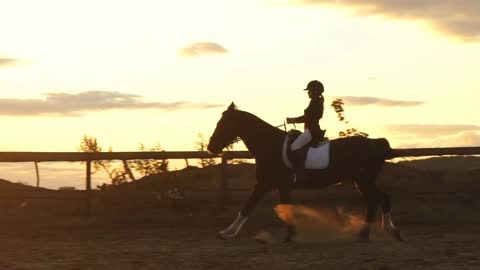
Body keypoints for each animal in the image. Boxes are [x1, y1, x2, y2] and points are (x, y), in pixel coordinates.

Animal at [208, 103, 404, 243]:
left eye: (223, 124)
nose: (211, 147)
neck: (269, 145)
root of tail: (377, 143)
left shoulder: (265, 184)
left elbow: (248, 206)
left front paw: (226, 233)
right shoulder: (279, 185)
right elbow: (284, 207)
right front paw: (290, 235)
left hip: (364, 181)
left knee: (381, 198)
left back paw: (390, 230)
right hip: (362, 181)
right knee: (374, 201)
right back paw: (365, 235)